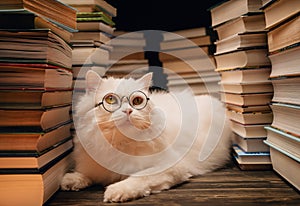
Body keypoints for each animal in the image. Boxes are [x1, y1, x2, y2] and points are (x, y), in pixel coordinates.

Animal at [61, 70, 233, 202]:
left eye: (137, 101)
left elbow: (138, 178)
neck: (120, 143)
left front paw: (116, 191)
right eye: (110, 99)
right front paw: (71, 181)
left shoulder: (171, 167)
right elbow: (85, 174)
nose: (128, 111)